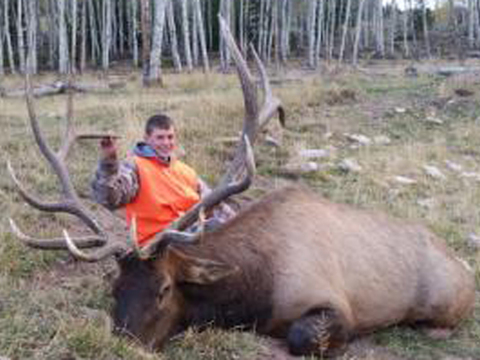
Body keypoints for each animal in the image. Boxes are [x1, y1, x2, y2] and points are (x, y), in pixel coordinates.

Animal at [8, 16, 476, 358]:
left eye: (163, 289)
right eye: (114, 288)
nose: (123, 347)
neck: (252, 293)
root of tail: (463, 265)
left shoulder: (336, 303)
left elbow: (304, 337)